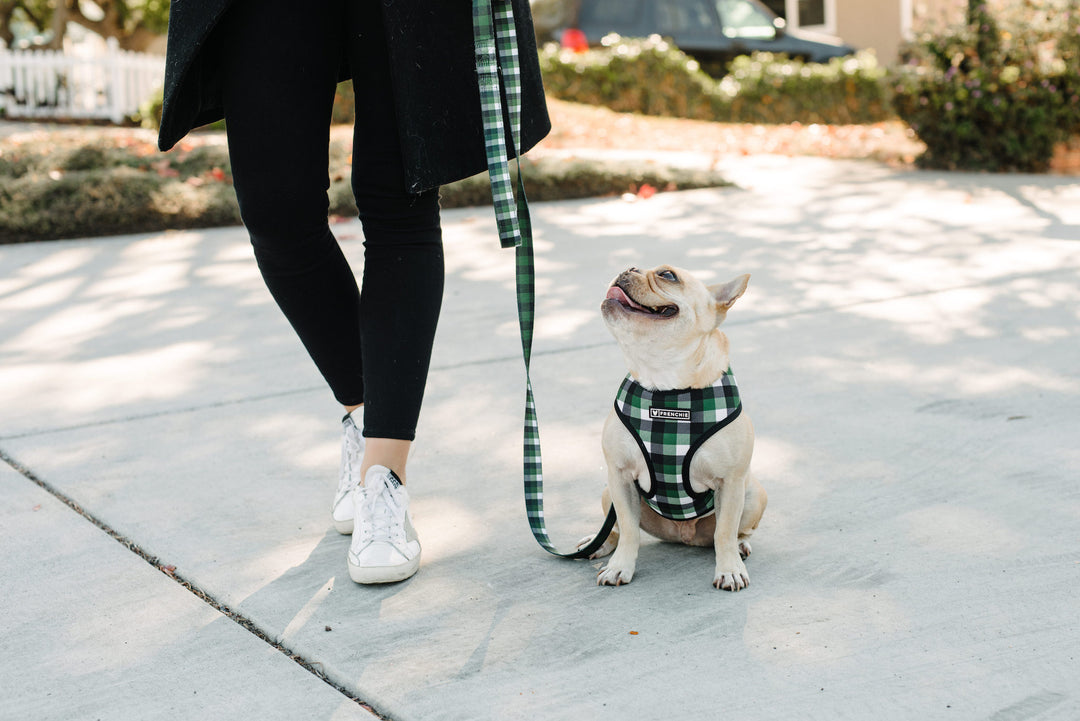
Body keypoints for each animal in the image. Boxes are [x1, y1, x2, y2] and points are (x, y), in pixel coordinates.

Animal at [583, 264, 768, 591]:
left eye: (667, 275)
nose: (628, 267)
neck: (666, 385)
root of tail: (684, 535)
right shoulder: (619, 476)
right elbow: (628, 528)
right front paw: (620, 567)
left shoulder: (731, 482)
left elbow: (724, 531)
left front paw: (729, 569)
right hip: (608, 493)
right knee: (615, 527)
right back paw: (601, 542)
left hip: (754, 494)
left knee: (734, 532)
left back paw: (741, 546)